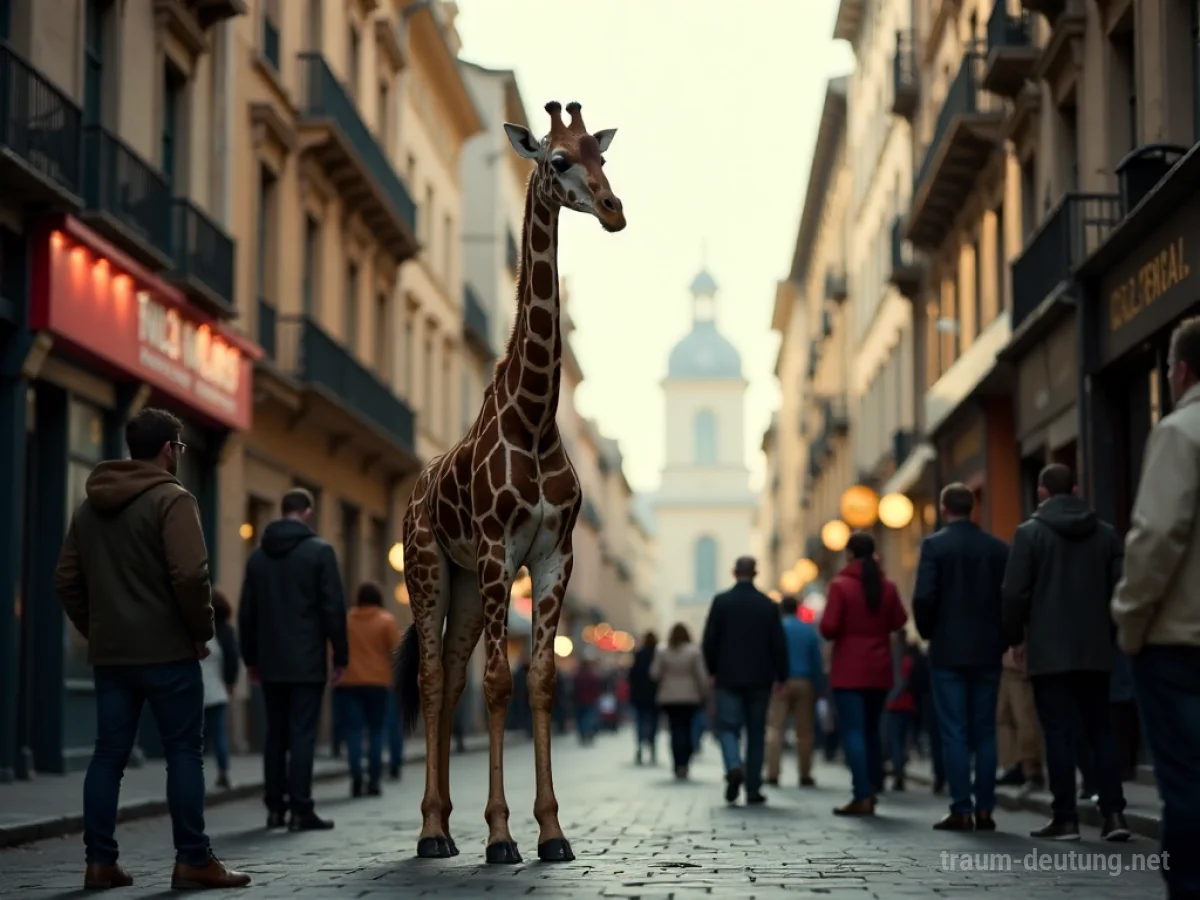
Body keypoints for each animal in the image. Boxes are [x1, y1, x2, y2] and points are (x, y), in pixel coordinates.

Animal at [394, 100, 625, 865]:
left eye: (603, 156)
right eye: (557, 159)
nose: (613, 209)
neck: (533, 417)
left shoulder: (554, 556)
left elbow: (541, 680)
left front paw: (551, 832)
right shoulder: (500, 551)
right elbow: (498, 684)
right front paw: (500, 836)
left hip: (468, 585)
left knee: (451, 671)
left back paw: (442, 823)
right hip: (430, 567)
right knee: (433, 676)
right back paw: (432, 832)